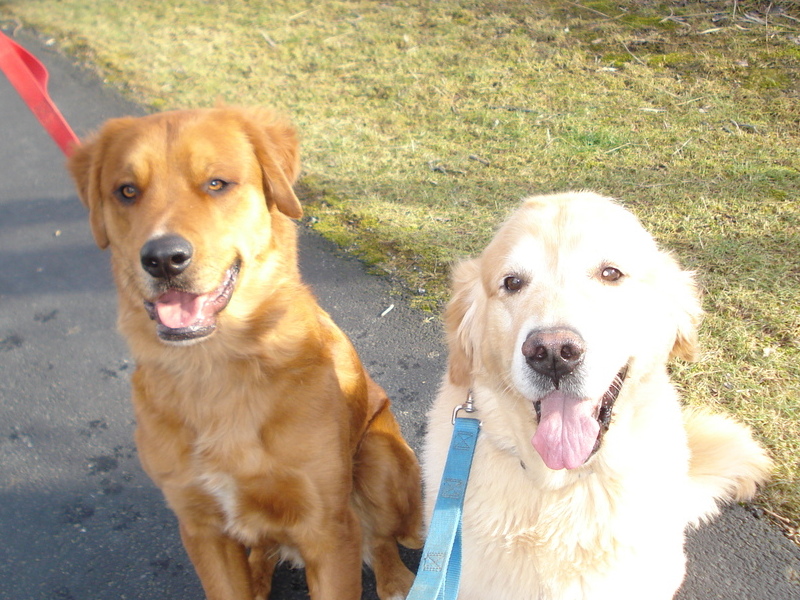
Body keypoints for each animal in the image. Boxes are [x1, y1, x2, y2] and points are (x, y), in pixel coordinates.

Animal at [67, 108, 424, 600]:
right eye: (127, 191)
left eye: (217, 183)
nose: (162, 258)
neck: (214, 367)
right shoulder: (201, 528)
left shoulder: (328, 530)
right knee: (264, 550)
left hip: (379, 459)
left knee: (382, 538)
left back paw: (397, 580)